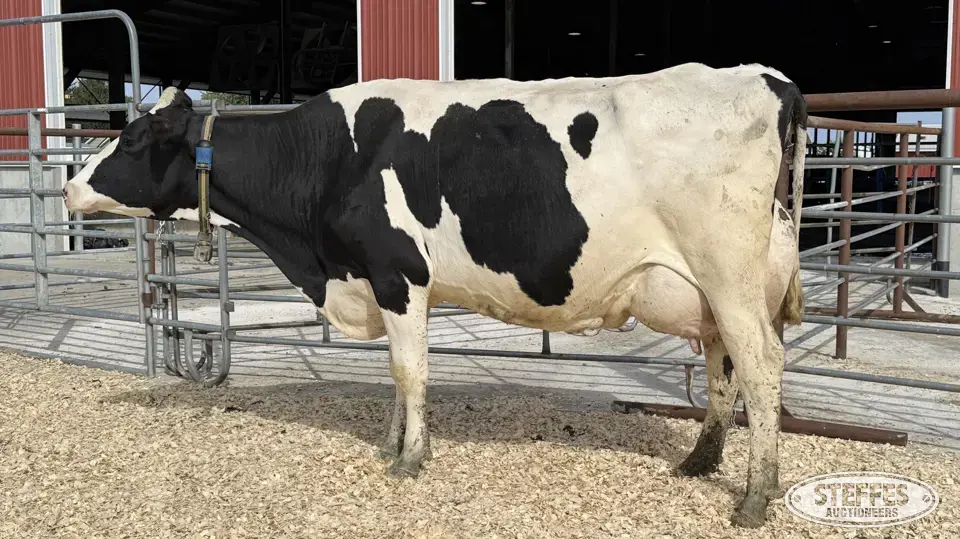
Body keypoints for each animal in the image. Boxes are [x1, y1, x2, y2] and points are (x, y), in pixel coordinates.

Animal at [62, 62, 806, 528]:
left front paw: (411, 457)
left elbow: (410, 369)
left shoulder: (398, 274)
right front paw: (392, 443)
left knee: (762, 366)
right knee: (723, 365)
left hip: (730, 275)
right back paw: (702, 462)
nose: (69, 186)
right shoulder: (381, 280)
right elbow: (397, 374)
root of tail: (764, 78)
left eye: (132, 139)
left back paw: (754, 496)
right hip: (713, 290)